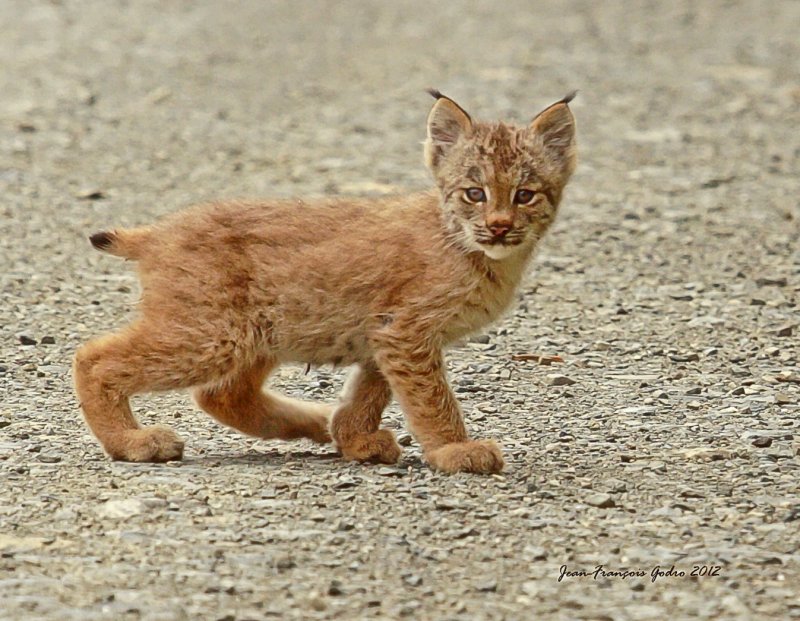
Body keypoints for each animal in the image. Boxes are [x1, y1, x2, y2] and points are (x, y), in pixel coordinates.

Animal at [73, 89, 576, 472]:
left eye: (525, 196)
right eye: (474, 193)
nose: (498, 227)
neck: (476, 250)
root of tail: (160, 230)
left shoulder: (385, 332)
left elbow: (372, 391)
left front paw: (354, 438)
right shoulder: (406, 330)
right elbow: (431, 398)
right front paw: (455, 449)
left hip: (258, 331)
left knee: (222, 395)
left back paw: (314, 422)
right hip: (212, 335)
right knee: (93, 357)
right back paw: (131, 442)